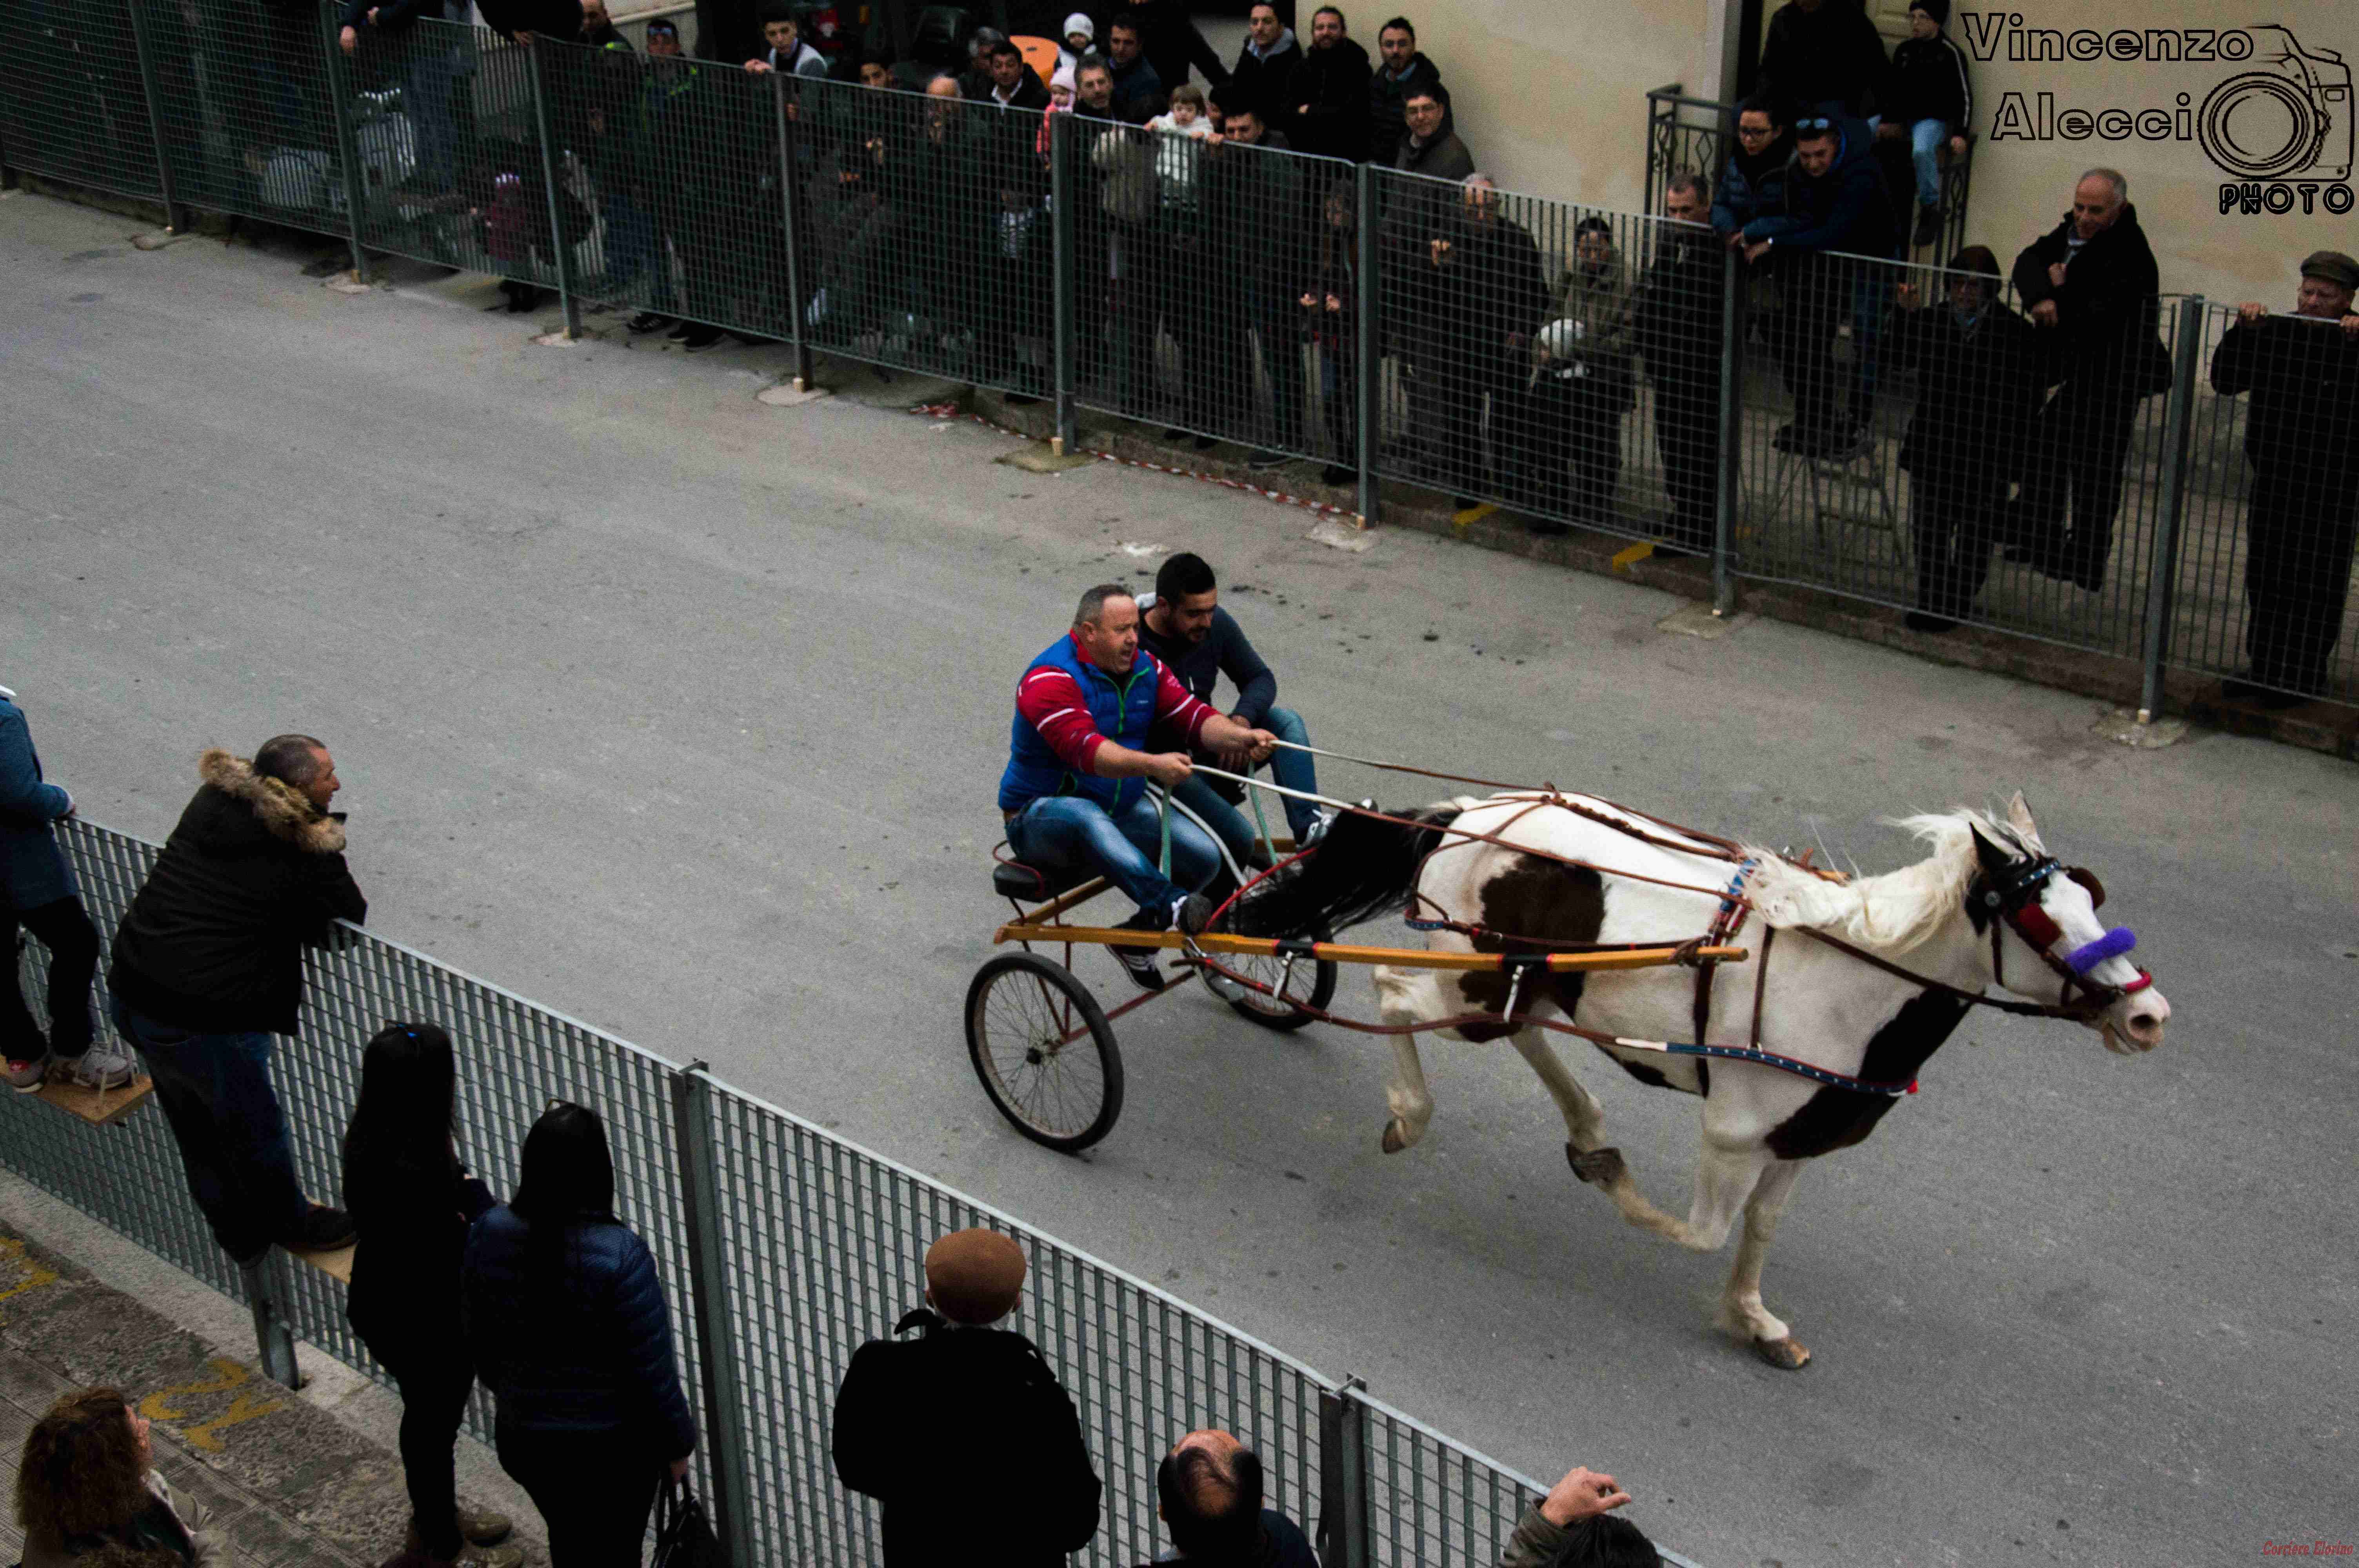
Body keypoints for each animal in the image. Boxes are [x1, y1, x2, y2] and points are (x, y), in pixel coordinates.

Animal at [1236, 788, 2170, 1367]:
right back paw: (1413, 1111)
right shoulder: (1733, 1133)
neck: (1848, 983)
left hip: (1521, 979)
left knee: (1523, 1028)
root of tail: (1468, 812)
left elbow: (1758, 1229)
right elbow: (1701, 1232)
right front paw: (1616, 1184)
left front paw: (1752, 1317)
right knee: (1396, 994)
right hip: (1465, 978)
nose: (2148, 1015)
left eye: (2090, 896)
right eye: (2040, 919)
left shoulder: (1802, 1137)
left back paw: (1584, 1119)